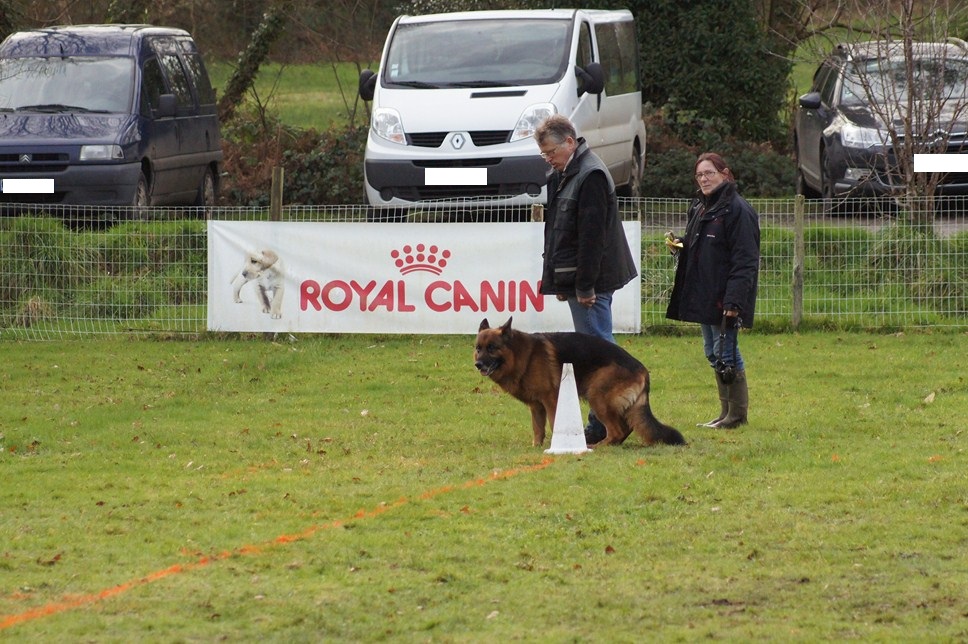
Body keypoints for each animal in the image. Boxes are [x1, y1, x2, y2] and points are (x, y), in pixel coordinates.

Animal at [472, 316, 684, 448]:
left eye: (492, 348)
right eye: (478, 348)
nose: (478, 364)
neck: (522, 355)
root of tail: (642, 370)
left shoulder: (551, 401)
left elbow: (553, 424)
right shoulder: (536, 406)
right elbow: (538, 429)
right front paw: (536, 446)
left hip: (597, 396)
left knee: (617, 430)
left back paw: (599, 446)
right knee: (626, 428)